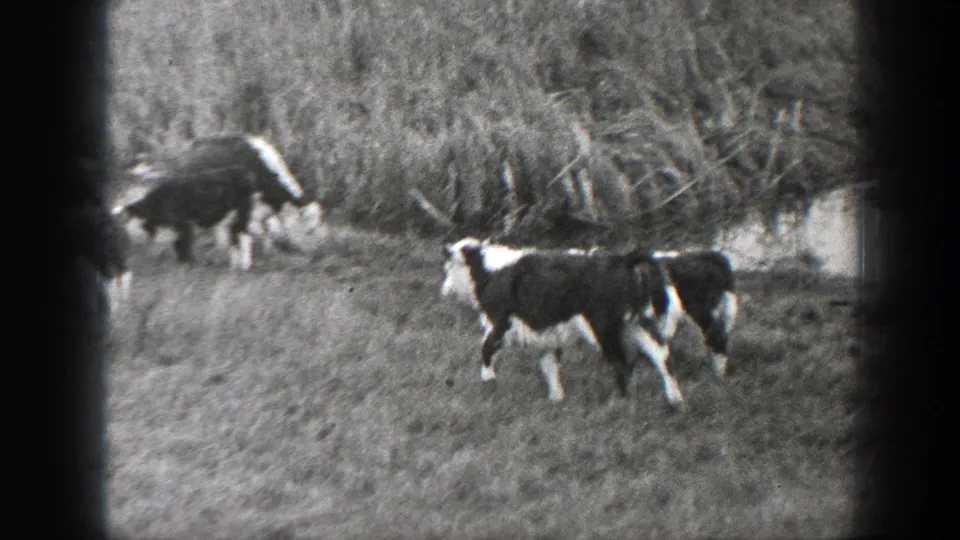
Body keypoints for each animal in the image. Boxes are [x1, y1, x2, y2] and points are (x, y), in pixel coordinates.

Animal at [440, 237, 689, 408]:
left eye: (448, 268)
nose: (445, 291)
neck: (491, 271)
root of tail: (623, 261)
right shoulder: (547, 335)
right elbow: (549, 364)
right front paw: (556, 399)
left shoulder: (500, 324)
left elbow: (486, 348)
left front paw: (488, 381)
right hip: (637, 324)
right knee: (661, 355)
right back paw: (674, 400)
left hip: (603, 327)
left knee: (624, 362)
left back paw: (620, 402)